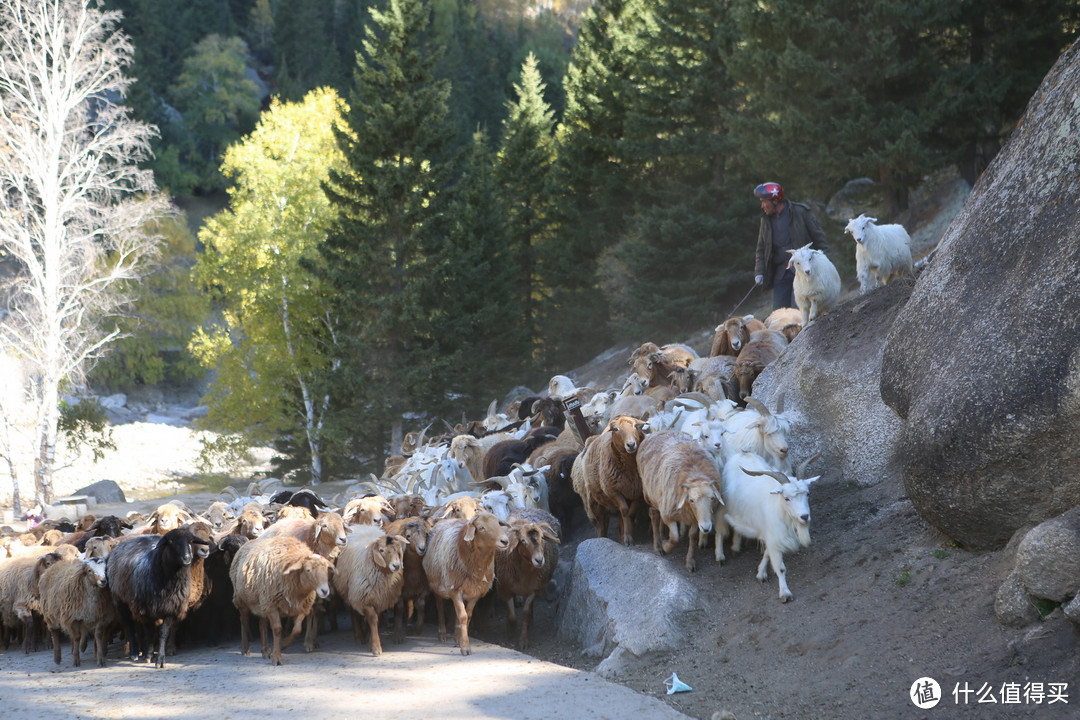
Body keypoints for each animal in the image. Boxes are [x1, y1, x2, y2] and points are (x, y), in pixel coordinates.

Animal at [107, 524, 210, 669]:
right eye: (171, 542)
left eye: (190, 541)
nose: (187, 558)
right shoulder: (145, 608)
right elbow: (149, 631)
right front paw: (148, 655)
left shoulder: (171, 608)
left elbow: (163, 633)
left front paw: (160, 659)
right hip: (120, 600)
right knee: (129, 625)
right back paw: (134, 652)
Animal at [234, 537, 334, 669]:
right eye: (308, 570)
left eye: (326, 569)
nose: (325, 590)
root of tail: (248, 542)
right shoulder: (272, 605)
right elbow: (277, 629)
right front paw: (277, 656)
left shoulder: (302, 606)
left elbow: (297, 629)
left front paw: (284, 644)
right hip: (242, 599)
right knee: (244, 620)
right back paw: (245, 648)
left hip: (262, 602)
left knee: (262, 624)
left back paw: (265, 651)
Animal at [419, 509, 507, 656]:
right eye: (481, 528)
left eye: (498, 524)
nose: (505, 541)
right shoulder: (454, 589)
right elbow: (463, 616)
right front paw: (465, 647)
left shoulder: (475, 591)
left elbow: (468, 615)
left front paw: (461, 639)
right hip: (438, 584)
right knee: (440, 606)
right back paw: (442, 633)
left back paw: (456, 635)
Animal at [570, 414, 643, 544]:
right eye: (616, 429)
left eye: (635, 426)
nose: (631, 445)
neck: (631, 469)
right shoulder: (612, 491)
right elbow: (625, 510)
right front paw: (627, 538)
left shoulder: (638, 493)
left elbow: (631, 512)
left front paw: (627, 534)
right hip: (594, 506)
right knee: (600, 525)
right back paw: (602, 539)